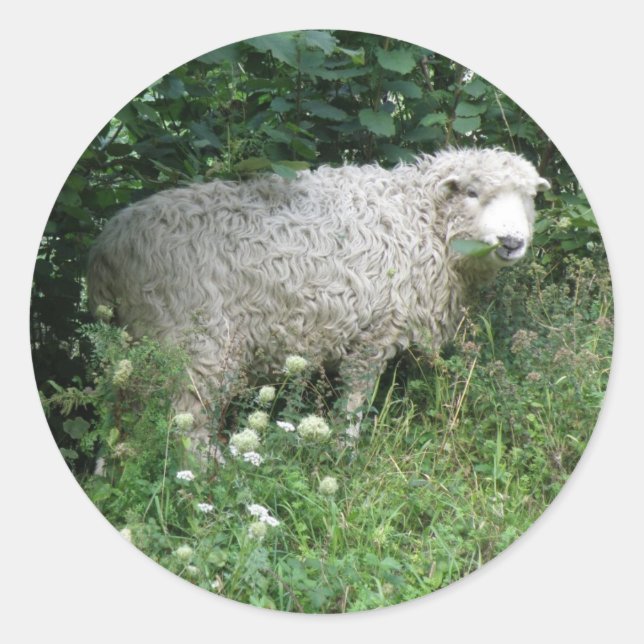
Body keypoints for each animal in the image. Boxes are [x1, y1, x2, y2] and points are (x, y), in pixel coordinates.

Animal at [88, 147, 550, 442]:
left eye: (529, 198)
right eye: (472, 192)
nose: (512, 242)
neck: (418, 218)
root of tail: (108, 249)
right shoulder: (373, 334)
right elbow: (354, 405)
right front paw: (345, 455)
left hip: (130, 347)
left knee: (117, 415)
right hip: (195, 342)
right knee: (187, 423)